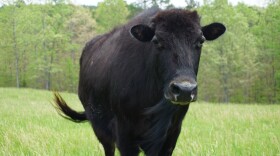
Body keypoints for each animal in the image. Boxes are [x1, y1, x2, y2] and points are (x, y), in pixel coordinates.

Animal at [54, 7, 225, 155]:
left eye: (201, 41)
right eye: (157, 41)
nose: (184, 90)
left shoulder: (172, 134)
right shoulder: (124, 133)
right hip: (99, 126)